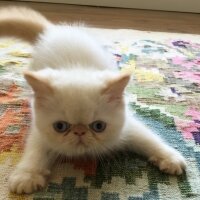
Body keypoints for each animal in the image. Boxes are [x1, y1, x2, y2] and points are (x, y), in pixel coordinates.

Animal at [0, 6, 186, 194]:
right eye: (60, 127)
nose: (80, 132)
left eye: (98, 126)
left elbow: (149, 139)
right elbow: (35, 151)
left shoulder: (128, 126)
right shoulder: (39, 131)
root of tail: (53, 31)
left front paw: (170, 158)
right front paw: (26, 175)